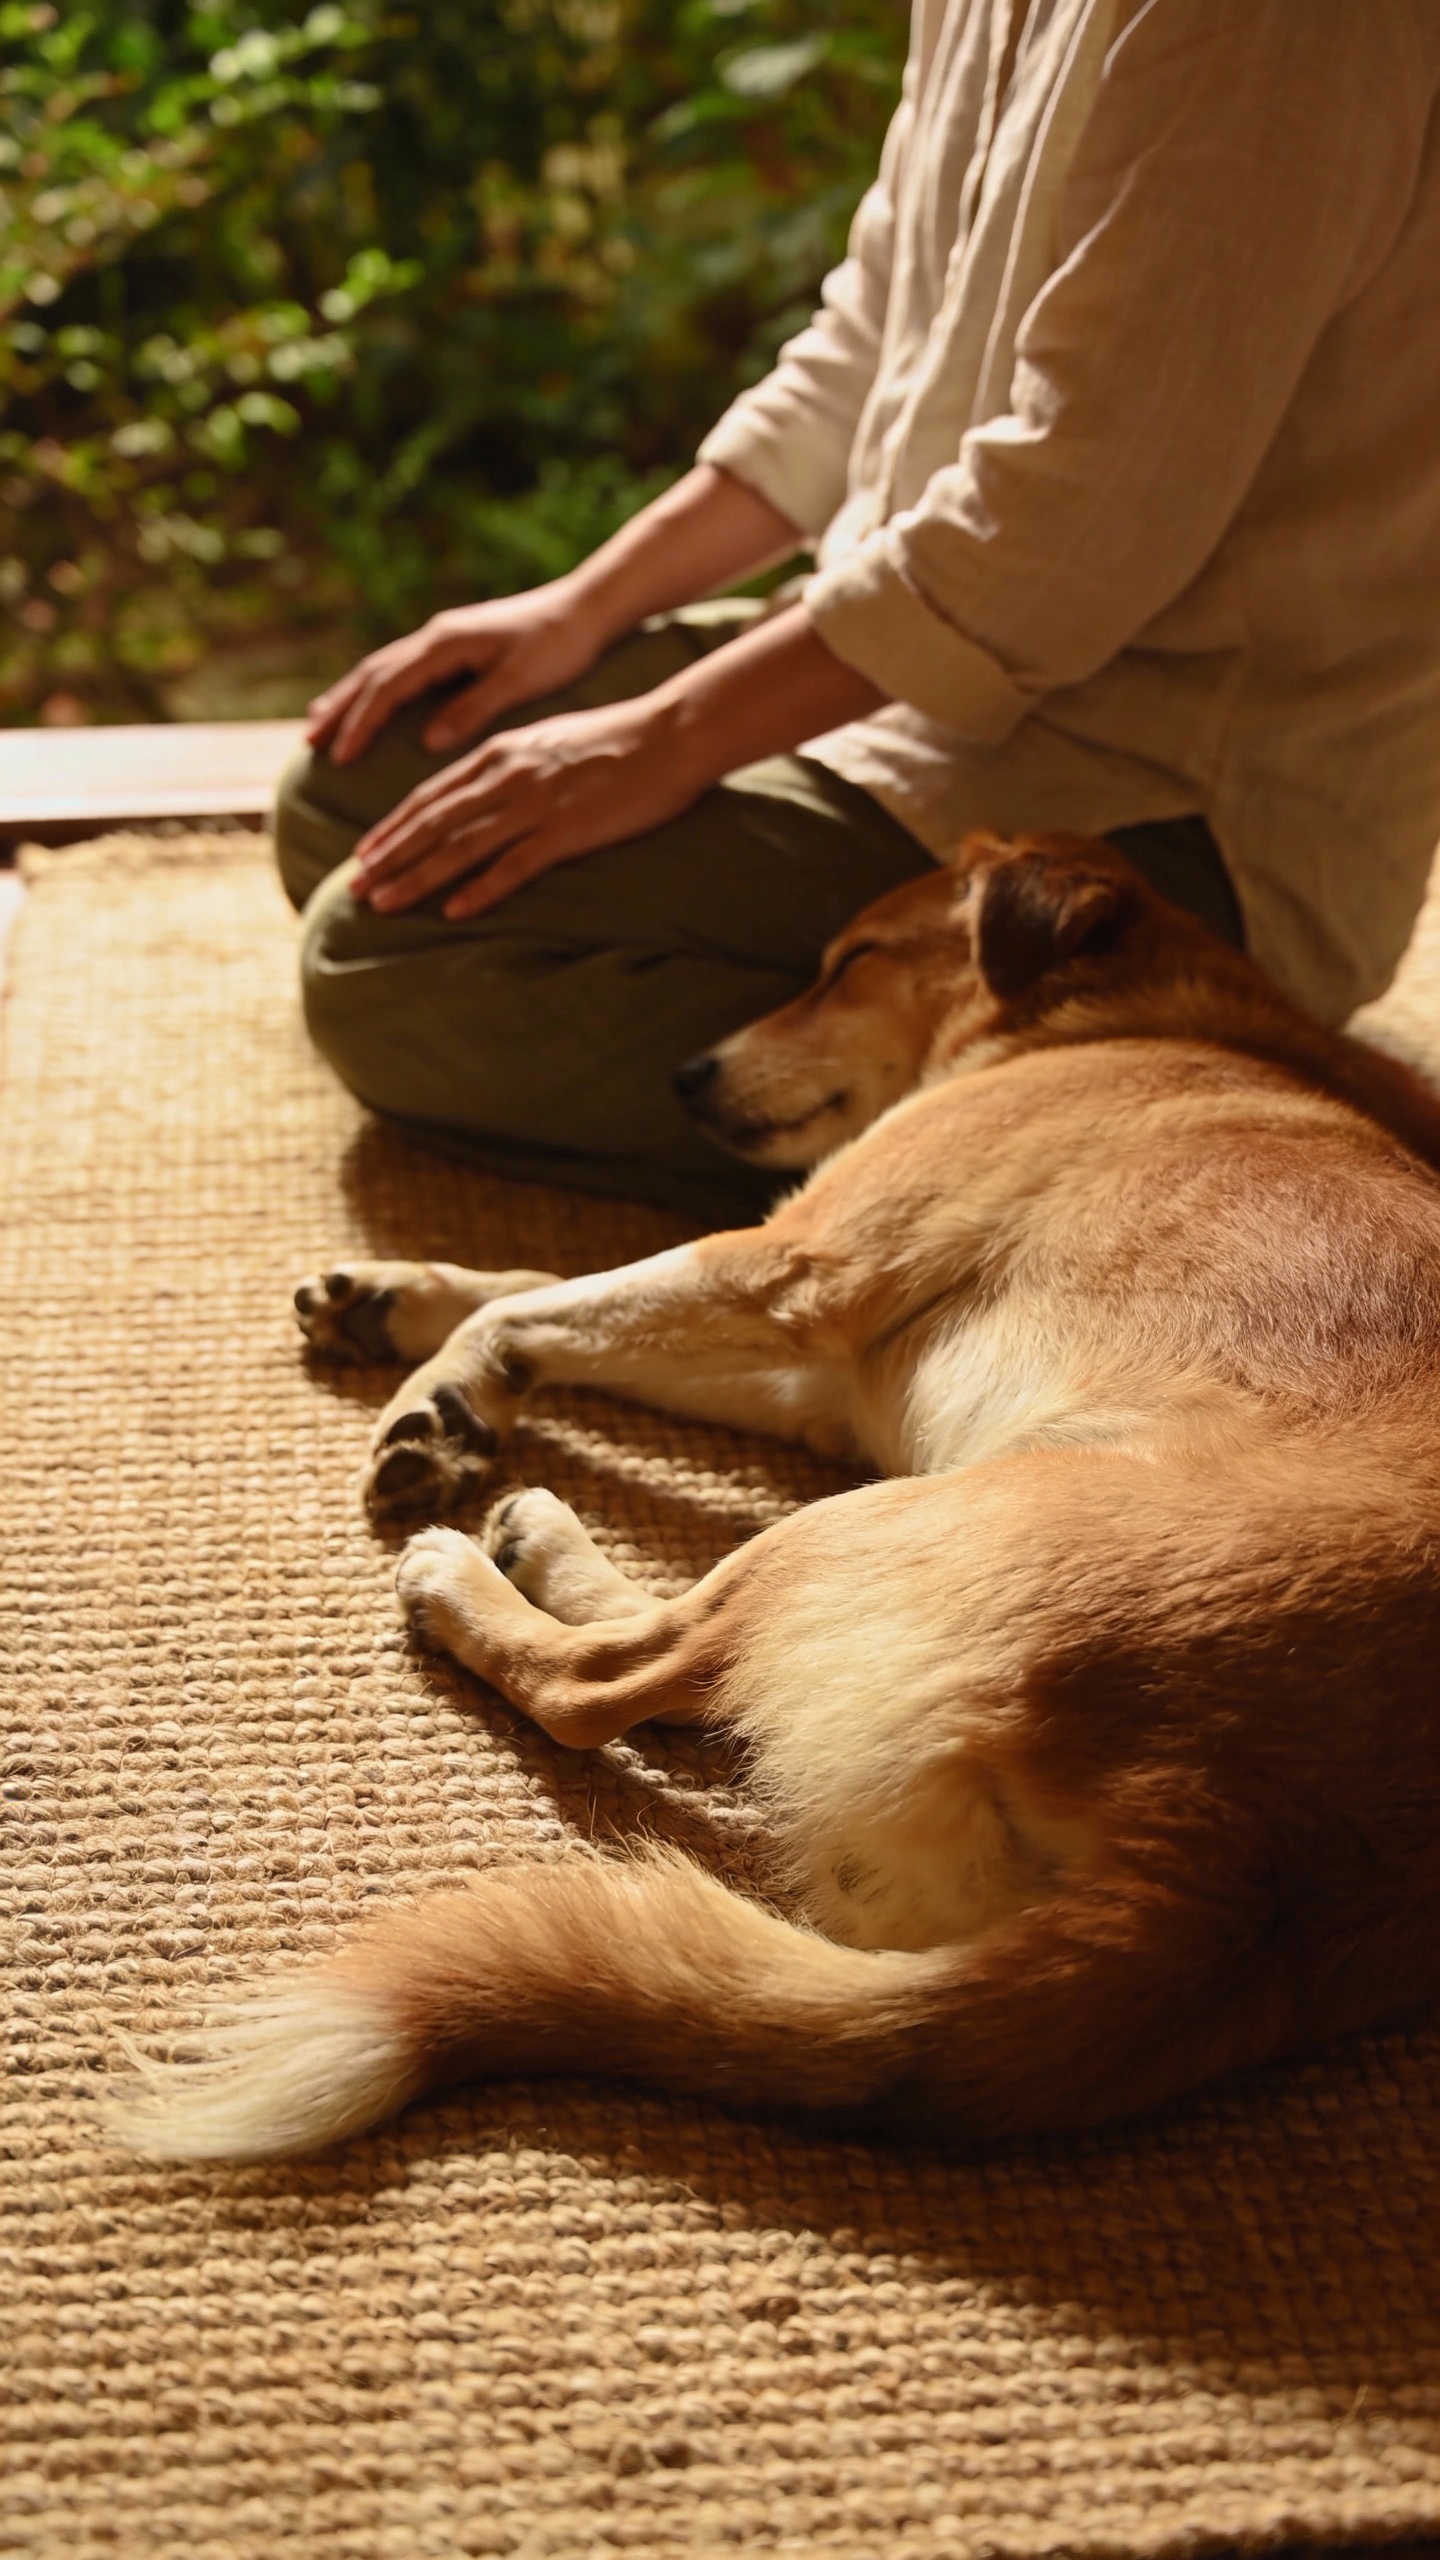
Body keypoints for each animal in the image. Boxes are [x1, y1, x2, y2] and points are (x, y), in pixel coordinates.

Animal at [114, 831, 1440, 2163]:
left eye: (848, 961)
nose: (686, 1075)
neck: (1104, 1019)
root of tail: (1227, 1871)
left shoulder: (790, 1264)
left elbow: (537, 1306)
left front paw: (441, 1391)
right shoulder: (820, 1380)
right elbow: (545, 1282)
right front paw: (399, 1302)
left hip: (880, 1515)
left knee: (609, 1687)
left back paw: (471, 1578)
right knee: (700, 1682)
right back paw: (539, 1540)